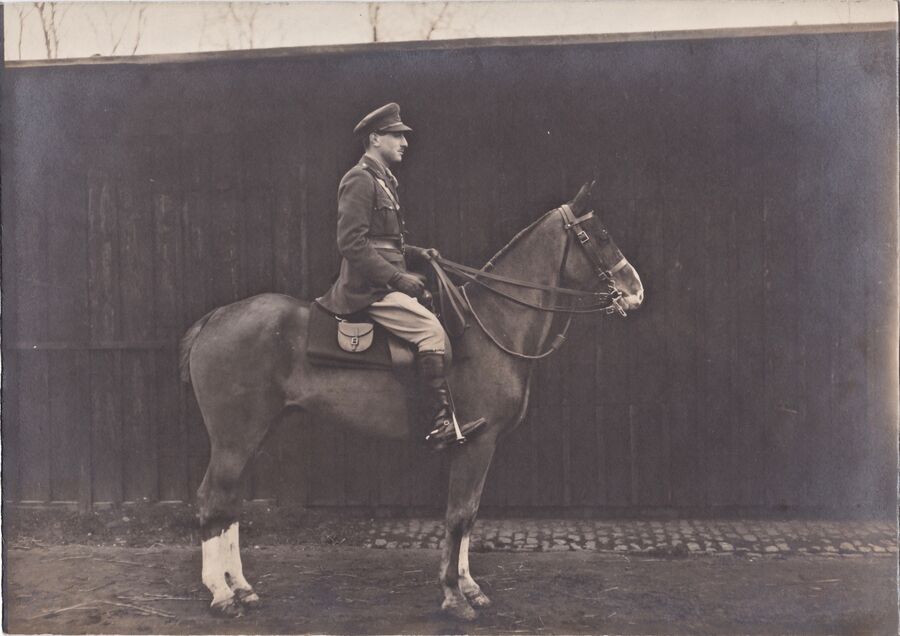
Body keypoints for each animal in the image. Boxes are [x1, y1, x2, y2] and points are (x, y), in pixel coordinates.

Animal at [179, 181, 644, 620]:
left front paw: (469, 586)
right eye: (600, 235)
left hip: (254, 434)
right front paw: (454, 597)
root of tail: (215, 318)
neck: (490, 323)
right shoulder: (478, 443)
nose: (635, 290)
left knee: (229, 503)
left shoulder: (478, 448)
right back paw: (222, 595)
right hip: (235, 439)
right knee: (211, 500)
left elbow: (470, 515)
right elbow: (459, 515)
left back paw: (241, 588)